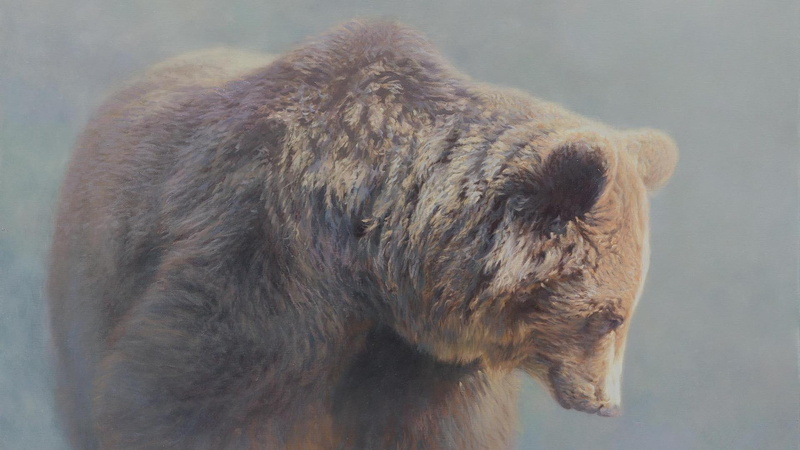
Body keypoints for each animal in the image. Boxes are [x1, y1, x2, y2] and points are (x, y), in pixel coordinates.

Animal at [48, 19, 677, 450]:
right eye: (609, 315)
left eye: (625, 313)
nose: (605, 404)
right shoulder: (266, 257)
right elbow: (186, 392)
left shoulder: (417, 359)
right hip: (94, 265)